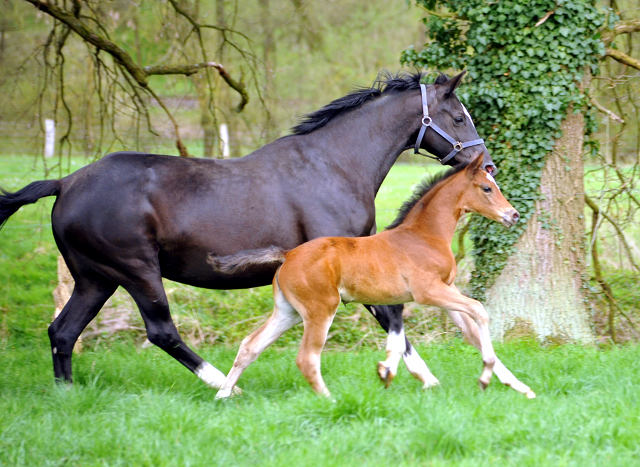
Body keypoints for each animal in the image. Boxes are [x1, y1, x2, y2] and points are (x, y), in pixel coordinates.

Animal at [214, 156, 536, 398]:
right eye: (486, 188)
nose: (513, 215)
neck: (425, 235)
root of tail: (288, 254)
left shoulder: (446, 291)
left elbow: (471, 331)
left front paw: (520, 386)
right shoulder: (428, 292)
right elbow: (479, 311)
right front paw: (485, 376)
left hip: (288, 312)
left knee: (251, 345)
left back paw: (223, 394)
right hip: (321, 310)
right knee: (307, 358)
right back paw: (330, 400)